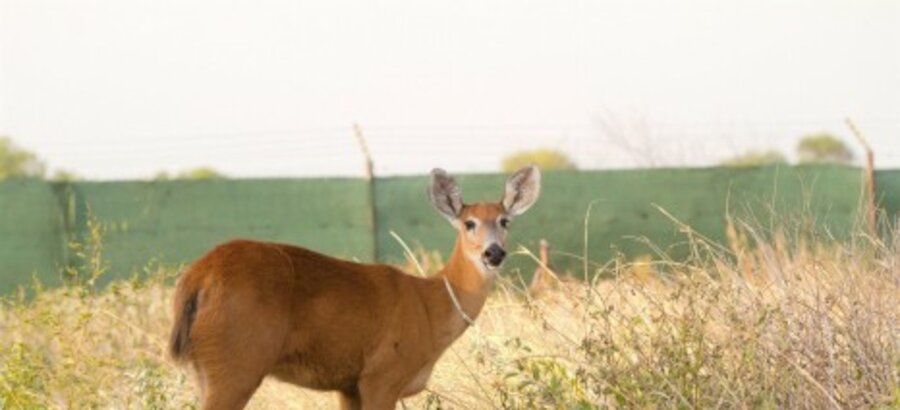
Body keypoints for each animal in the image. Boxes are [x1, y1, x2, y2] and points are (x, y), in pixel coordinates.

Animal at [169, 165, 540, 408]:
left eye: (505, 221)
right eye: (469, 223)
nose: (494, 253)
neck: (430, 306)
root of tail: (198, 277)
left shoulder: (348, 385)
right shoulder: (382, 374)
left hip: (207, 367)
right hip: (237, 360)